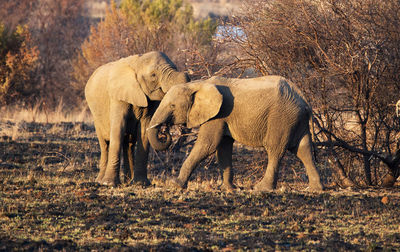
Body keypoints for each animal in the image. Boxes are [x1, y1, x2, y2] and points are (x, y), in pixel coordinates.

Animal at [84, 50, 189, 186]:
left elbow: (144, 131)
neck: (138, 62)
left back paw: (128, 181)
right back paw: (101, 181)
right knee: (105, 144)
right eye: (153, 75)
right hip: (96, 116)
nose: (166, 132)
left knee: (129, 144)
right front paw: (110, 184)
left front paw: (141, 184)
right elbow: (118, 129)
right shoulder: (117, 97)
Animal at [147, 75, 324, 191]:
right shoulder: (222, 117)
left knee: (275, 150)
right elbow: (223, 148)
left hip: (282, 118)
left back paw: (261, 188)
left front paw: (175, 184)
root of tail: (304, 99)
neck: (198, 84)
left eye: (172, 106)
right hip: (296, 119)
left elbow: (207, 145)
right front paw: (228, 189)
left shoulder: (218, 114)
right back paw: (316, 189)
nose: (165, 132)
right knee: (303, 149)